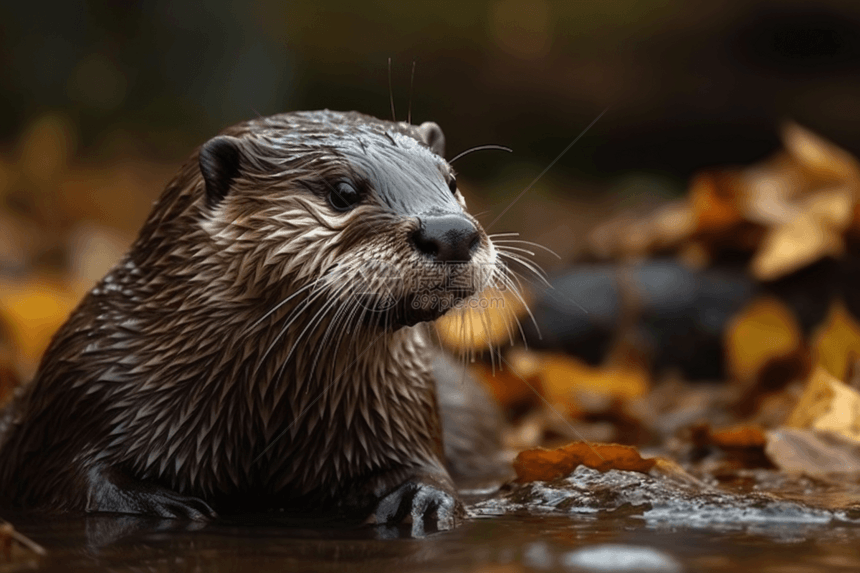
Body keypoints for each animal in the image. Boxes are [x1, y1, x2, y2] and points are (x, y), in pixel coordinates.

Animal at [0, 110, 508, 532]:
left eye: (452, 181)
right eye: (343, 192)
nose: (451, 232)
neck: (261, 415)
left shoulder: (407, 403)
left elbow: (426, 468)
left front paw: (421, 496)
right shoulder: (85, 386)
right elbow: (68, 475)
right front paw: (161, 505)